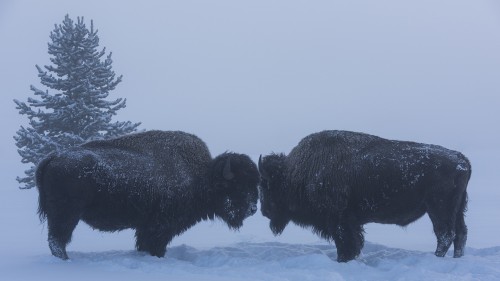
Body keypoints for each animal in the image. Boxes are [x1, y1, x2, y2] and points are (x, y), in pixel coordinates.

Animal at [34, 130, 260, 260]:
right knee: (58, 239)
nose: (252, 209)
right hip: (66, 214)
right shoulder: (161, 226)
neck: (201, 175)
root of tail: (54, 157)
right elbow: (155, 245)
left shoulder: (146, 226)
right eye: (237, 185)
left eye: (255, 184)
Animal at [260, 130, 470, 262]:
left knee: (445, 234)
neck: (295, 173)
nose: (263, 211)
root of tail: (461, 158)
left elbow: (346, 243)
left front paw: (342, 260)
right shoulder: (349, 222)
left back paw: (436, 257)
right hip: (457, 209)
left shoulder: (338, 221)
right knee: (460, 233)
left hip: (439, 209)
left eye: (266, 185)